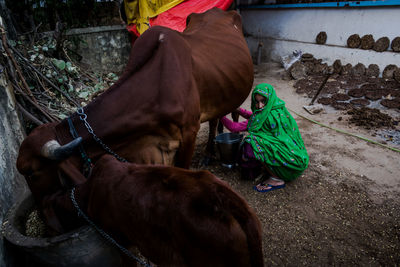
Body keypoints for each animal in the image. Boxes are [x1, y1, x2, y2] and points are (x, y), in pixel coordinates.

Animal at [16, 7, 253, 230]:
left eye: (32, 173)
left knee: (219, 119)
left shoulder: (189, 131)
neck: (155, 88)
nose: (42, 217)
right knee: (215, 119)